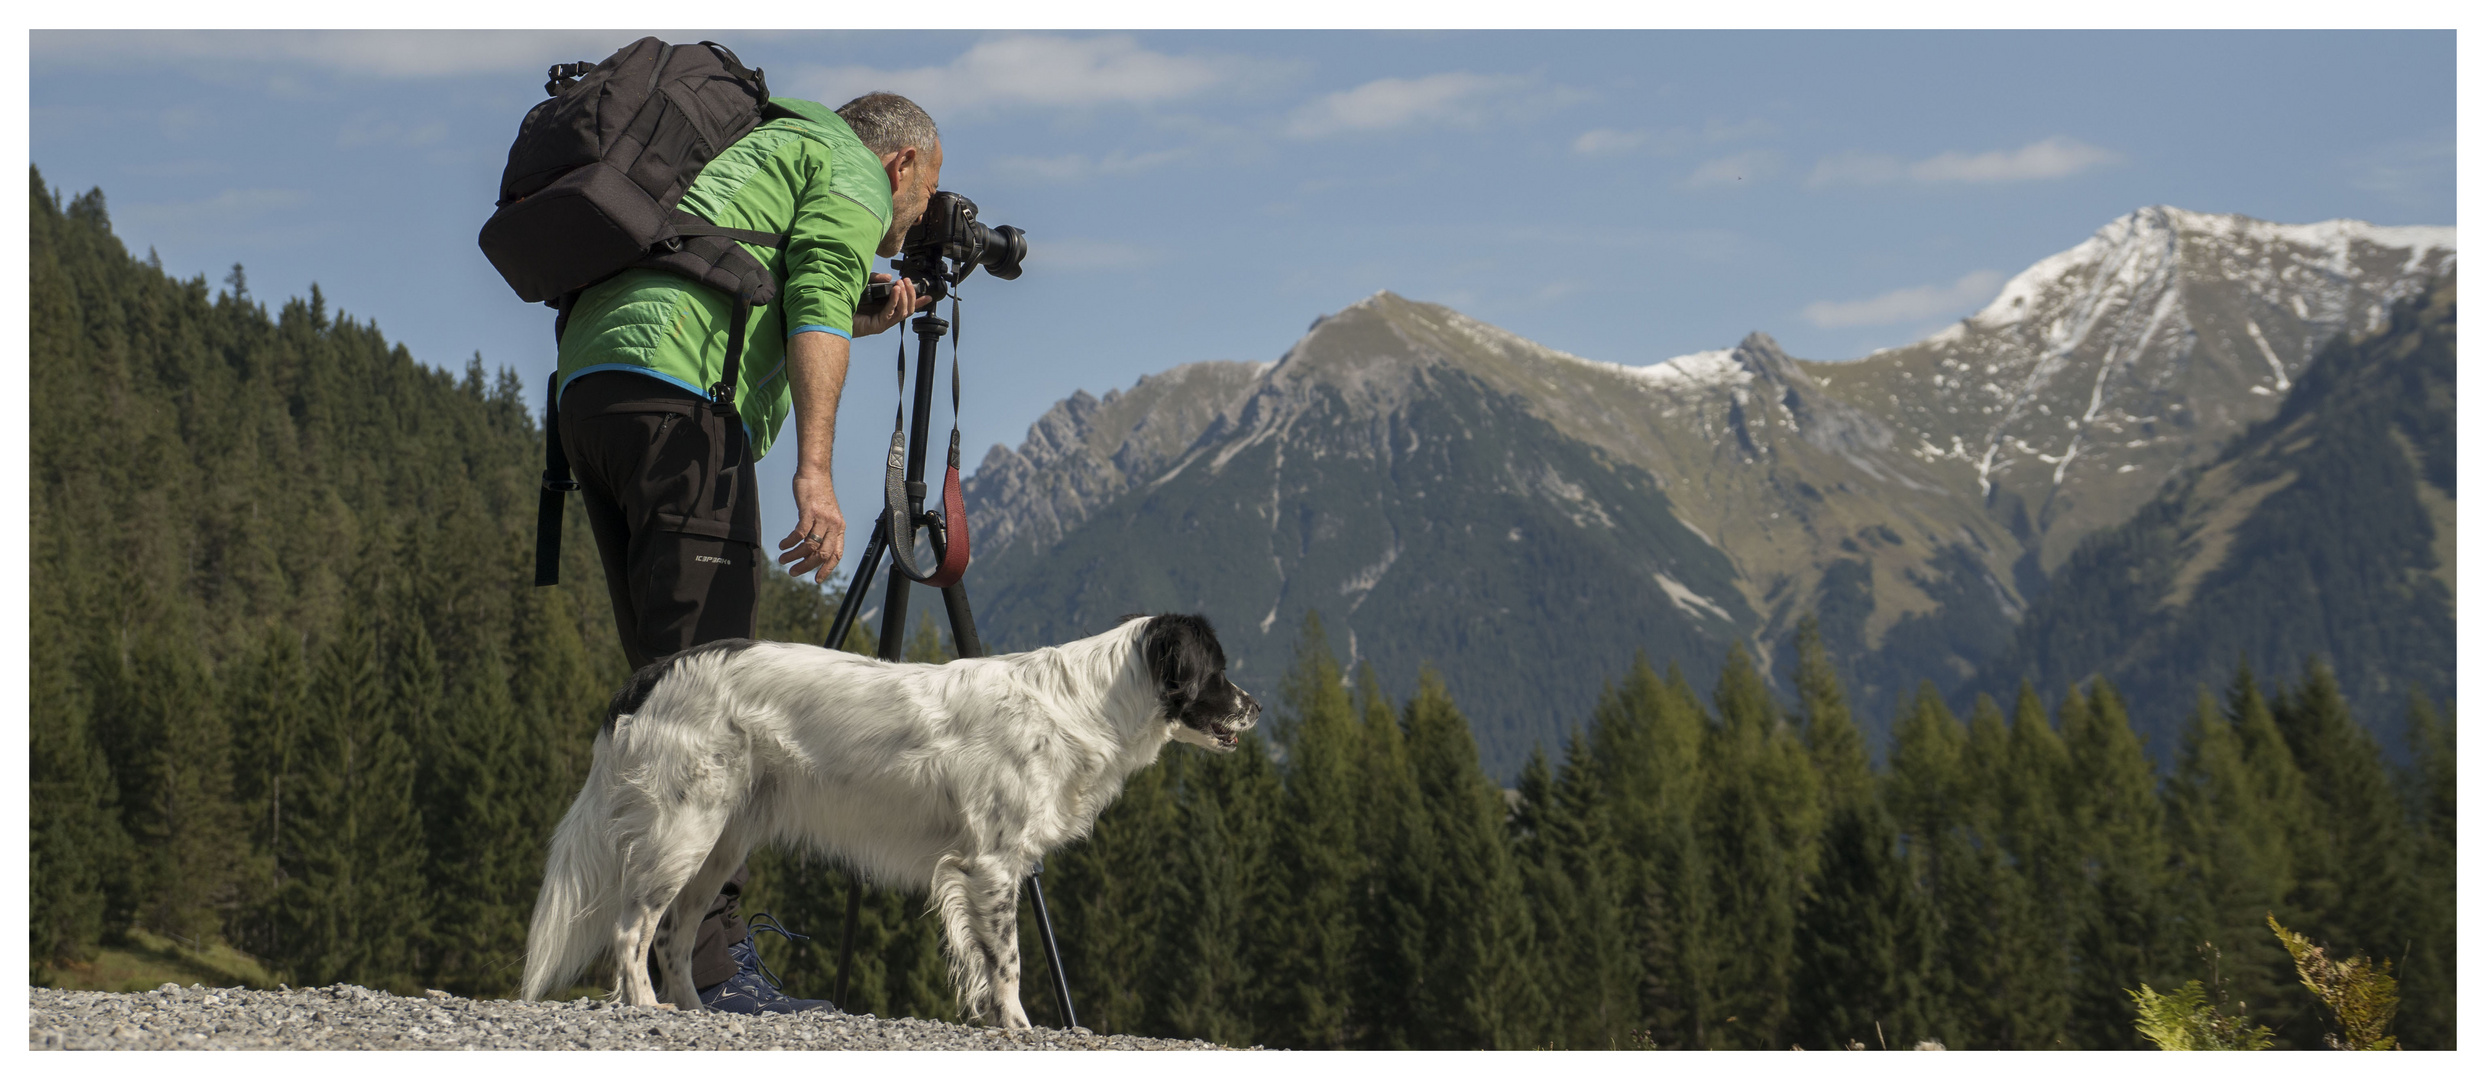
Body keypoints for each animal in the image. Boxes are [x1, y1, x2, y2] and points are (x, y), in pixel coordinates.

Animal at [523, 613, 1260, 1027]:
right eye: (1217, 672)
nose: (1255, 708)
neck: (1082, 704)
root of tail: (651, 675)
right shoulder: (992, 865)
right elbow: (1010, 962)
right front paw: (1018, 1026)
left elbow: (983, 961)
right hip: (683, 831)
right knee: (633, 929)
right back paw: (645, 1008)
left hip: (719, 847)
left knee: (675, 934)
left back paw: (696, 1015)